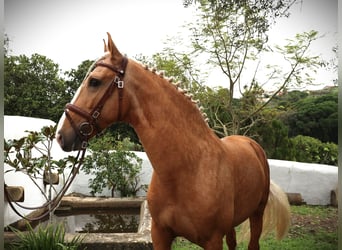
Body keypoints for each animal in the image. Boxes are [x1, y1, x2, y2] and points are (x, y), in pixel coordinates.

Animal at [56, 32, 292, 248]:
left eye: (94, 81)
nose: (60, 135)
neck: (188, 170)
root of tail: (251, 144)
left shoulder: (213, 240)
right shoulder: (160, 234)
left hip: (257, 214)